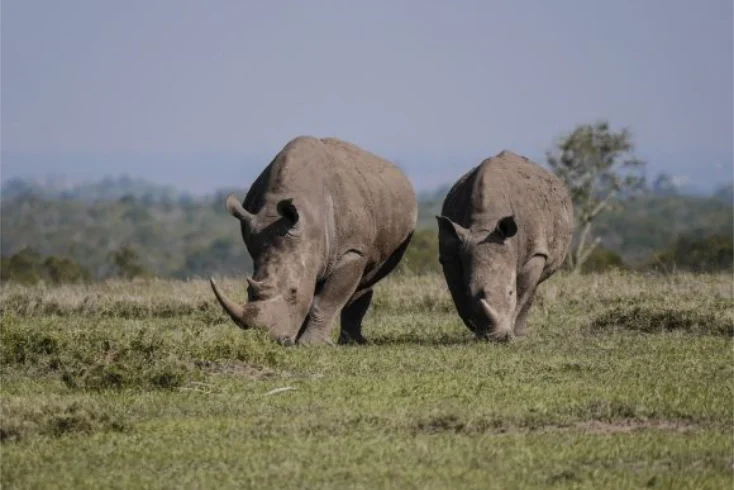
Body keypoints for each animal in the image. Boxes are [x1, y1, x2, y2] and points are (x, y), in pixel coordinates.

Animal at [210, 136, 417, 346]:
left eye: (293, 291)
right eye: (248, 291)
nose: (277, 340)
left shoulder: (351, 251)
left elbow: (326, 300)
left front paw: (311, 344)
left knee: (367, 278)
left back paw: (352, 342)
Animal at [436, 150, 573, 341]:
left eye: (510, 292)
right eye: (470, 292)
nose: (495, 337)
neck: (484, 224)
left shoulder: (534, 252)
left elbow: (522, 291)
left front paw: (510, 334)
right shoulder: (451, 253)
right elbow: (458, 293)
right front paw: (474, 328)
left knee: (534, 285)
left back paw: (520, 334)